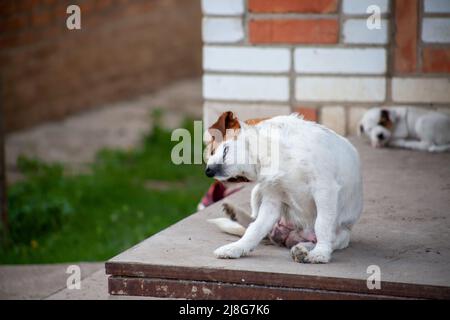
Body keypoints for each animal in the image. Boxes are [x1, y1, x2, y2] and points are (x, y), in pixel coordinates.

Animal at [204, 111, 362, 264]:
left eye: (224, 151)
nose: (207, 172)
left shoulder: (325, 190)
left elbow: (322, 224)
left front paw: (320, 253)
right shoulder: (272, 199)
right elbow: (255, 229)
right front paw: (236, 248)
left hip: (341, 235)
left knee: (324, 240)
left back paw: (303, 249)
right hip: (262, 203)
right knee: (253, 222)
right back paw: (235, 216)